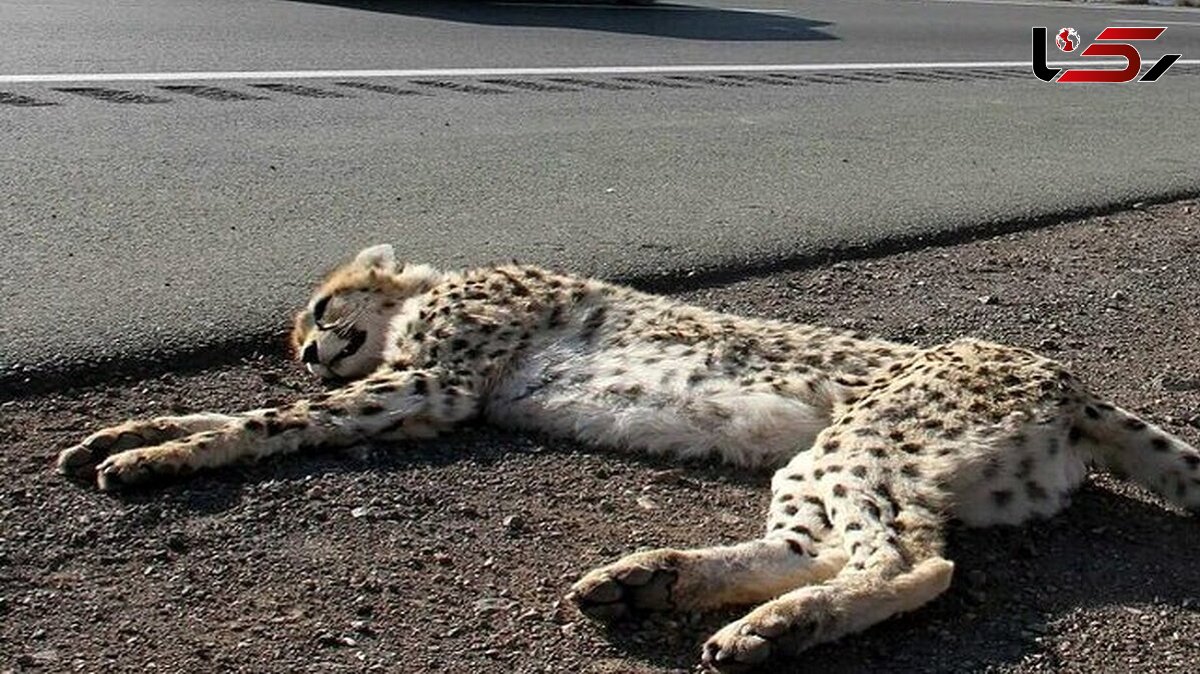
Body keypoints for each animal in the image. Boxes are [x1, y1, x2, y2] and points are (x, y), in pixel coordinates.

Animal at [56, 241, 1200, 666]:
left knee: (907, 562)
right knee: (837, 547)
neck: (429, 292)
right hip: (854, 465)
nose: (302, 348)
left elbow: (256, 422)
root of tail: (1060, 374)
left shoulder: (431, 390)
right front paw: (123, 437)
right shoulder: (414, 403)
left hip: (861, 443)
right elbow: (262, 415)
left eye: (321, 306)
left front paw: (155, 454)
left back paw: (768, 629)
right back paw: (650, 582)